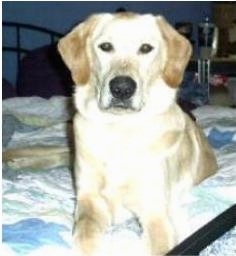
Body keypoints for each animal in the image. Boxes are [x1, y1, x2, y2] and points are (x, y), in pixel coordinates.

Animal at [58, 12, 218, 256]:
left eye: (145, 48)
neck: (121, 129)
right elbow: (85, 234)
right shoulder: (90, 199)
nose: (122, 88)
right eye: (106, 46)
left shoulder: (155, 211)